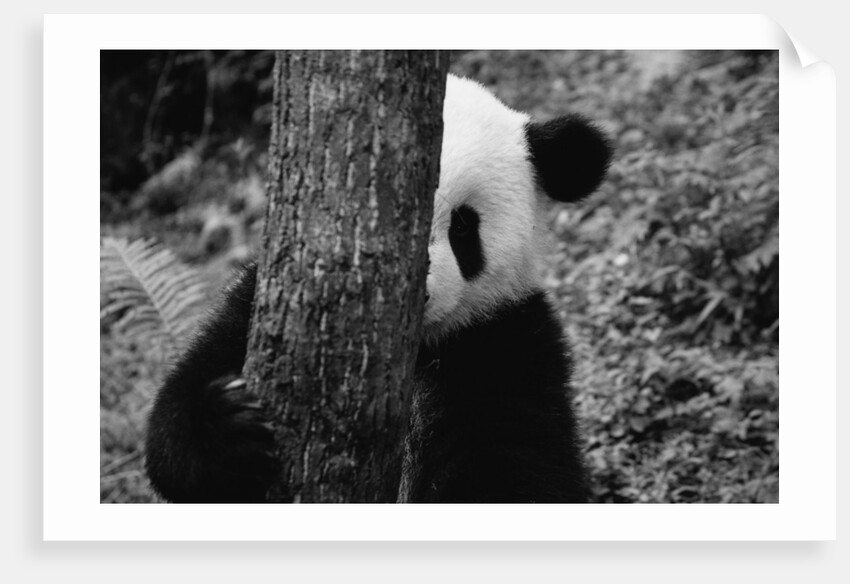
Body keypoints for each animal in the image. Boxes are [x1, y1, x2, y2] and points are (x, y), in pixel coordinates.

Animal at [144, 73, 611, 504]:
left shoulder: (507, 341)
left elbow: (518, 466)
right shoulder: (259, 303)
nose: (418, 295)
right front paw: (230, 425)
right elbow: (181, 413)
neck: (420, 350)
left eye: (462, 225)